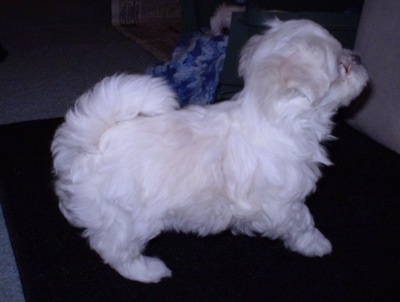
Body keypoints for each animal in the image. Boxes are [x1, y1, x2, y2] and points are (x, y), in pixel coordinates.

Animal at [52, 19, 368, 284]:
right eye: (342, 67)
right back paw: (148, 271)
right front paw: (316, 244)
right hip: (128, 217)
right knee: (114, 248)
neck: (276, 117)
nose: (358, 58)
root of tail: (89, 144)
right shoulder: (283, 202)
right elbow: (302, 221)